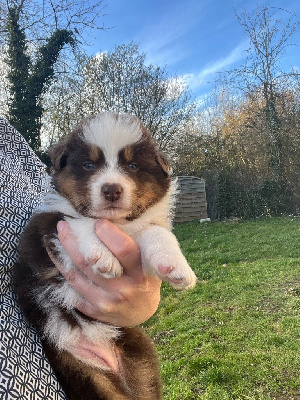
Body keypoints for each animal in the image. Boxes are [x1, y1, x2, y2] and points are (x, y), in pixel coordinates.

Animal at [13, 112, 197, 400]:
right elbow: (80, 220)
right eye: (88, 165)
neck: (118, 224)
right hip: (81, 372)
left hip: (140, 358)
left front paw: (176, 268)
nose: (111, 190)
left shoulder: (140, 234)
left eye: (132, 166)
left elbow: (156, 231)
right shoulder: (41, 232)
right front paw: (102, 257)